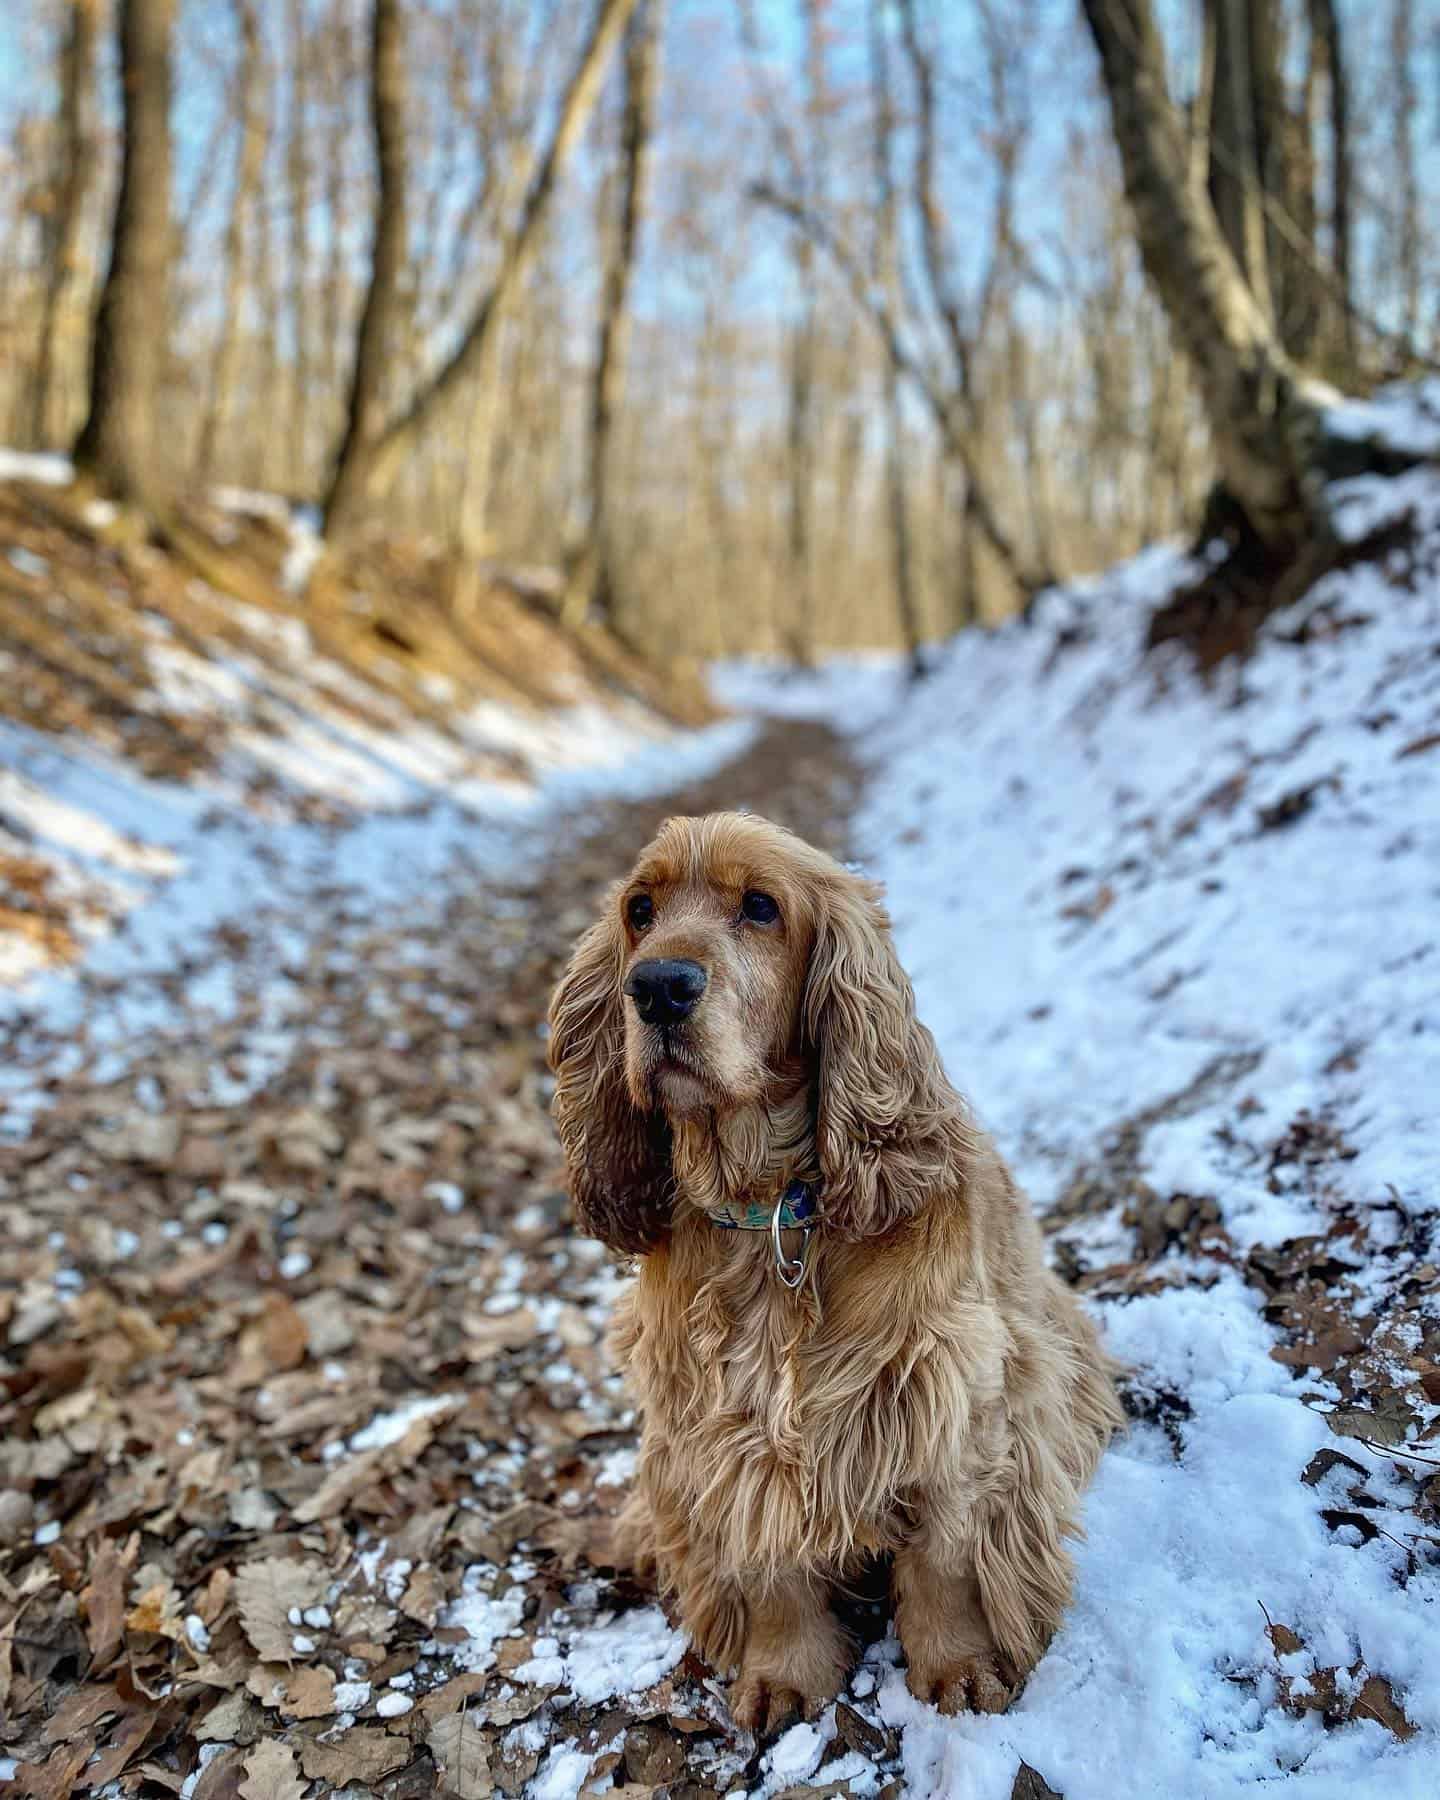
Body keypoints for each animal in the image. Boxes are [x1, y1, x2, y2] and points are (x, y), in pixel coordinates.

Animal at [547, 817, 1116, 1728]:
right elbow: (765, 1558)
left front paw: (961, 1670)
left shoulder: (948, 1395)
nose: (659, 987)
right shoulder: (723, 1429)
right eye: (640, 909)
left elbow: (947, 1554)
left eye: (760, 907)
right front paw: (784, 1677)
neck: (770, 1206)